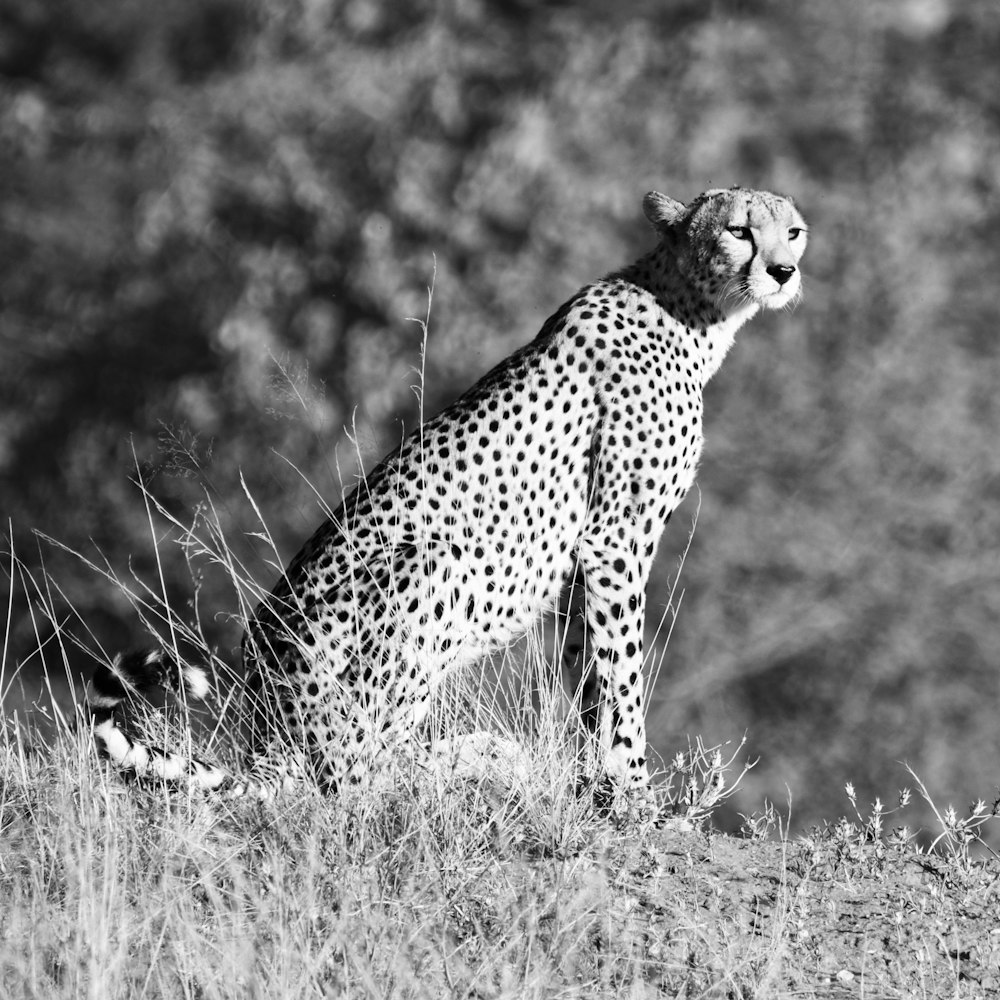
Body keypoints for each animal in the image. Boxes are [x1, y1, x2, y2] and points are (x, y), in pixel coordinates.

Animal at [90, 186, 808, 796]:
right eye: (740, 231)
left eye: (794, 232)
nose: (783, 272)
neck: (689, 308)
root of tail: (263, 724)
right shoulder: (615, 539)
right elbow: (622, 670)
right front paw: (633, 788)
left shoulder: (586, 557)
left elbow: (590, 671)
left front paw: (593, 784)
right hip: (433, 564)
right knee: (353, 773)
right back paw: (473, 762)